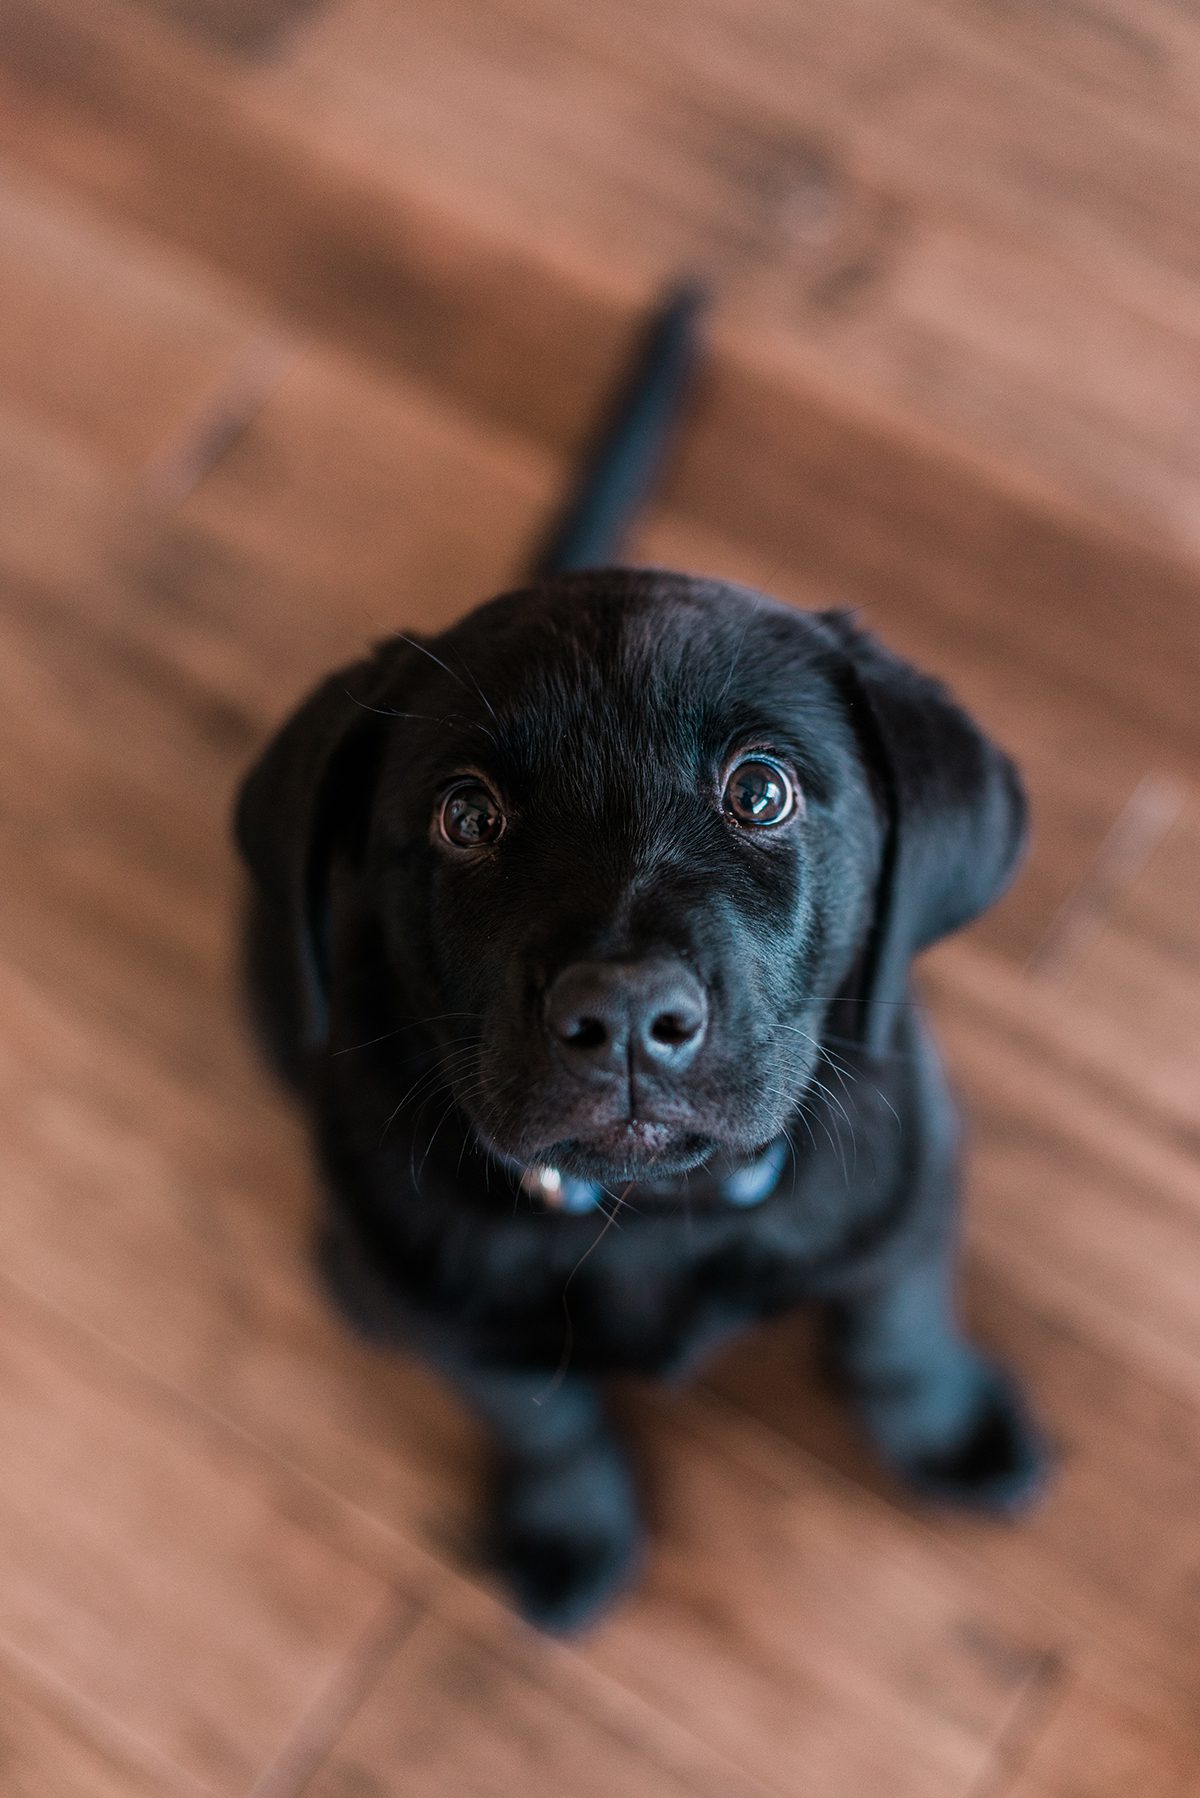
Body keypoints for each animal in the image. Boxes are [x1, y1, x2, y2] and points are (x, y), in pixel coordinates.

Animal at [232, 291, 1043, 1632]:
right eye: (466, 816)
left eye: (761, 790)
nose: (620, 1016)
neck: (656, 1219)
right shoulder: (445, 1310)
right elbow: (541, 1412)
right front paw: (568, 1527)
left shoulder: (912, 1177)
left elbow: (896, 1320)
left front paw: (948, 1430)